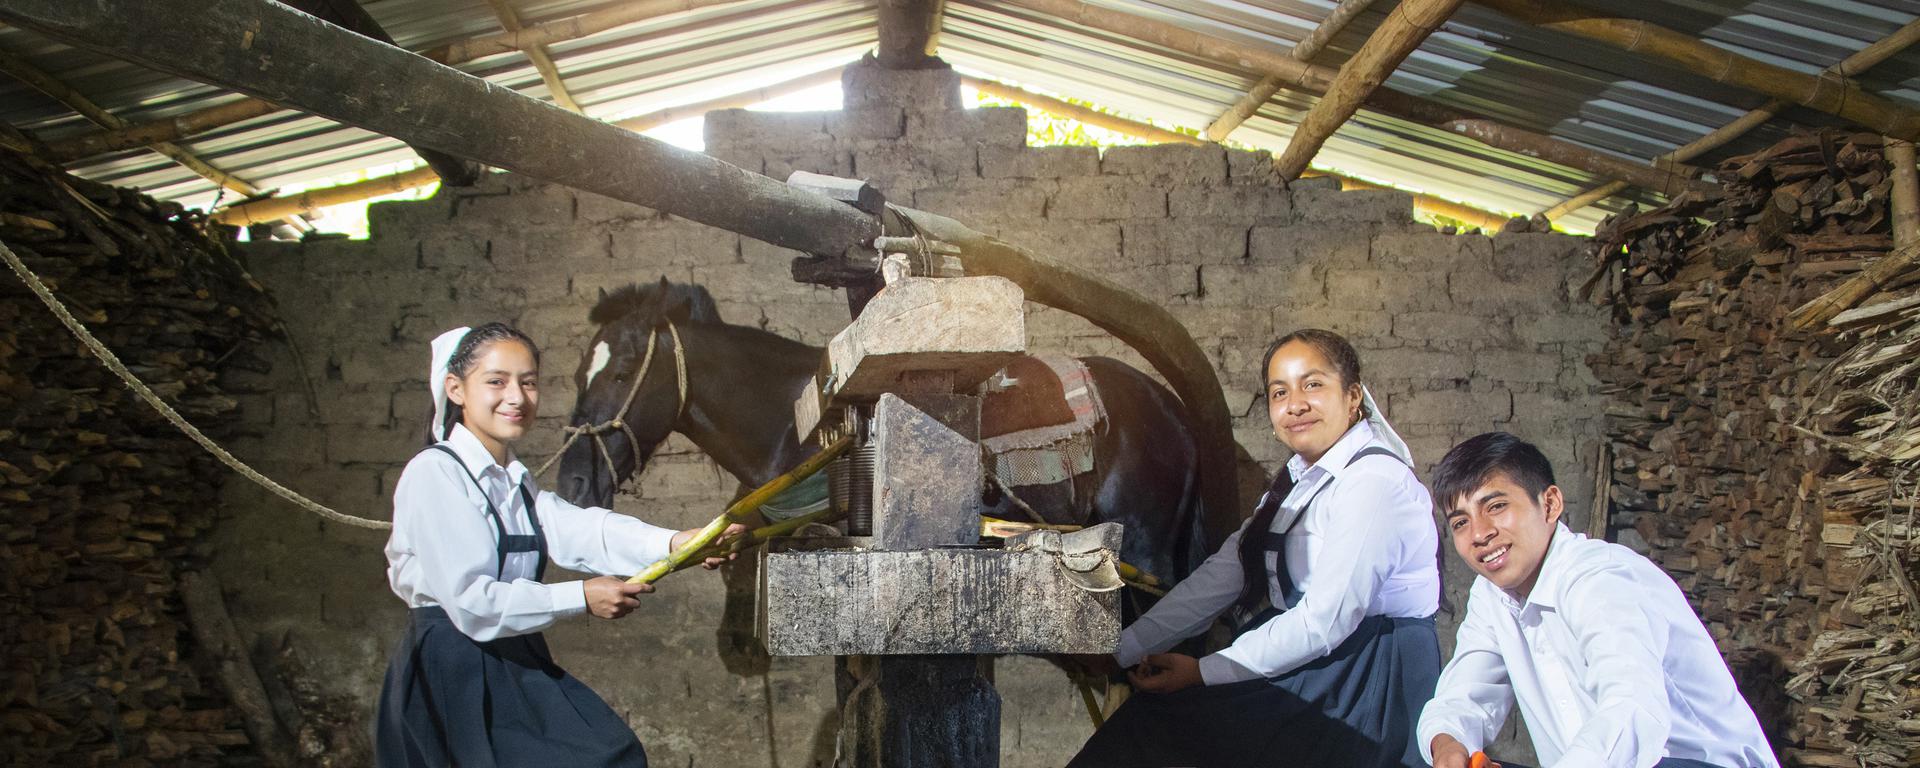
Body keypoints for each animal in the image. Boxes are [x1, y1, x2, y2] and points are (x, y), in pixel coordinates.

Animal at [556, 278, 1205, 583]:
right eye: (578, 371)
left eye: (621, 370)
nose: (572, 486)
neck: (791, 427)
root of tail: (1174, 410)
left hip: (1143, 544)